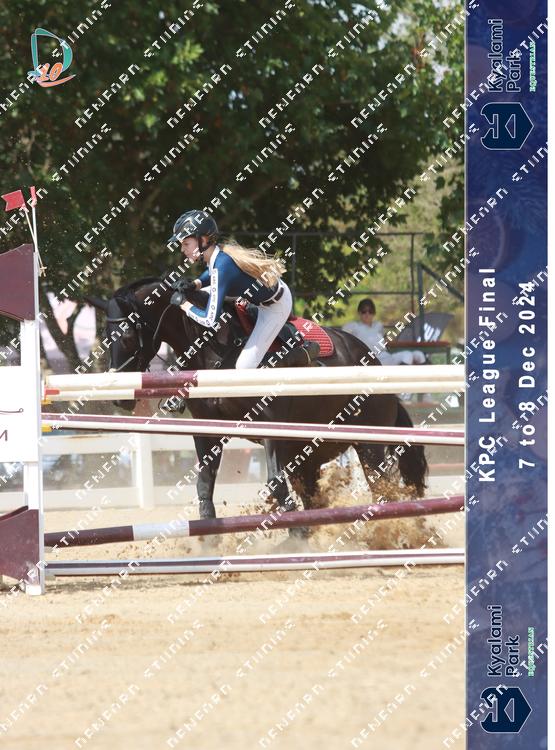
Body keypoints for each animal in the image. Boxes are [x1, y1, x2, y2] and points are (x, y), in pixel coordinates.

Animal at [90, 277, 428, 519]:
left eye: (128, 335)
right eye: (105, 337)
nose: (119, 398)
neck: (216, 347)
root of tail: (374, 361)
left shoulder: (270, 426)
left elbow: (275, 484)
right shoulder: (207, 430)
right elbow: (205, 483)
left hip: (369, 445)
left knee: (382, 488)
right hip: (308, 451)